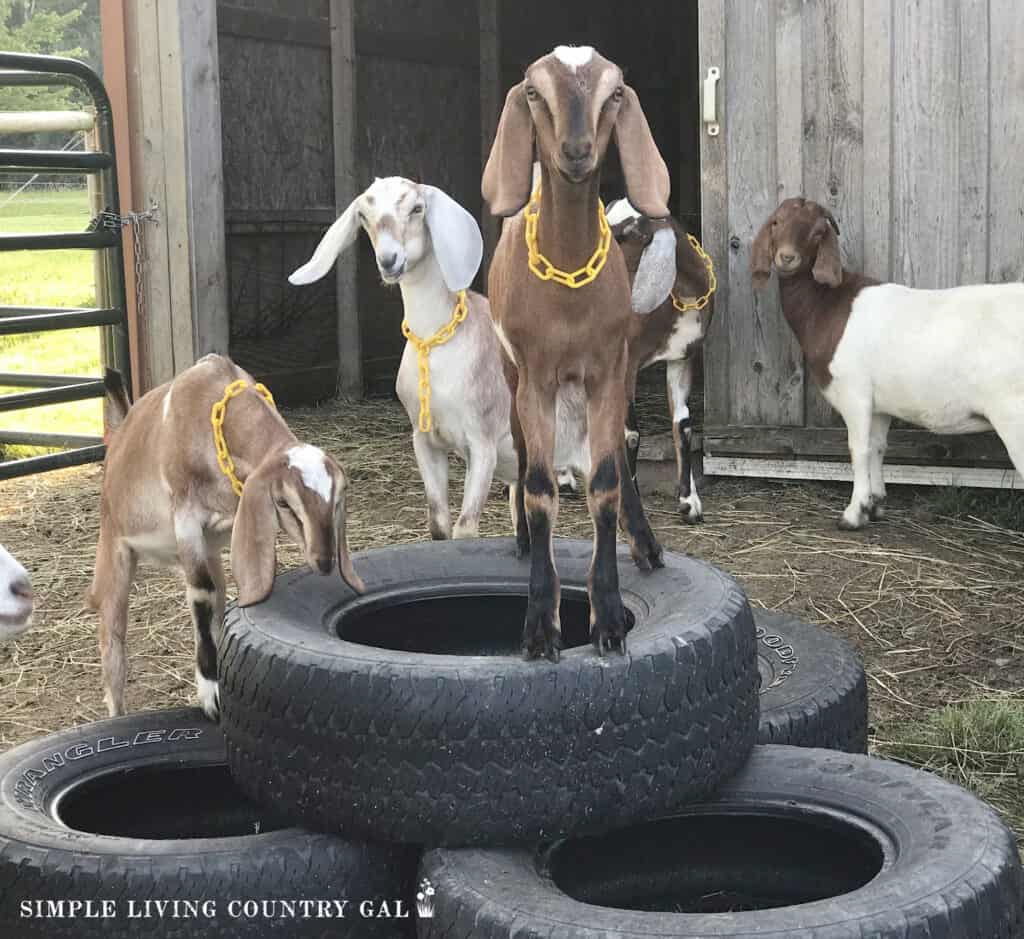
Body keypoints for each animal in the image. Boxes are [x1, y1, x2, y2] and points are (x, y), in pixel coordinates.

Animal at [87, 356, 364, 720]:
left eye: (336, 502)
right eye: (284, 502)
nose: (325, 561)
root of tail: (120, 437)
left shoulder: (237, 523)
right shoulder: (185, 518)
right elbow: (202, 593)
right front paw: (211, 692)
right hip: (115, 553)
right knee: (113, 641)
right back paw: (117, 714)